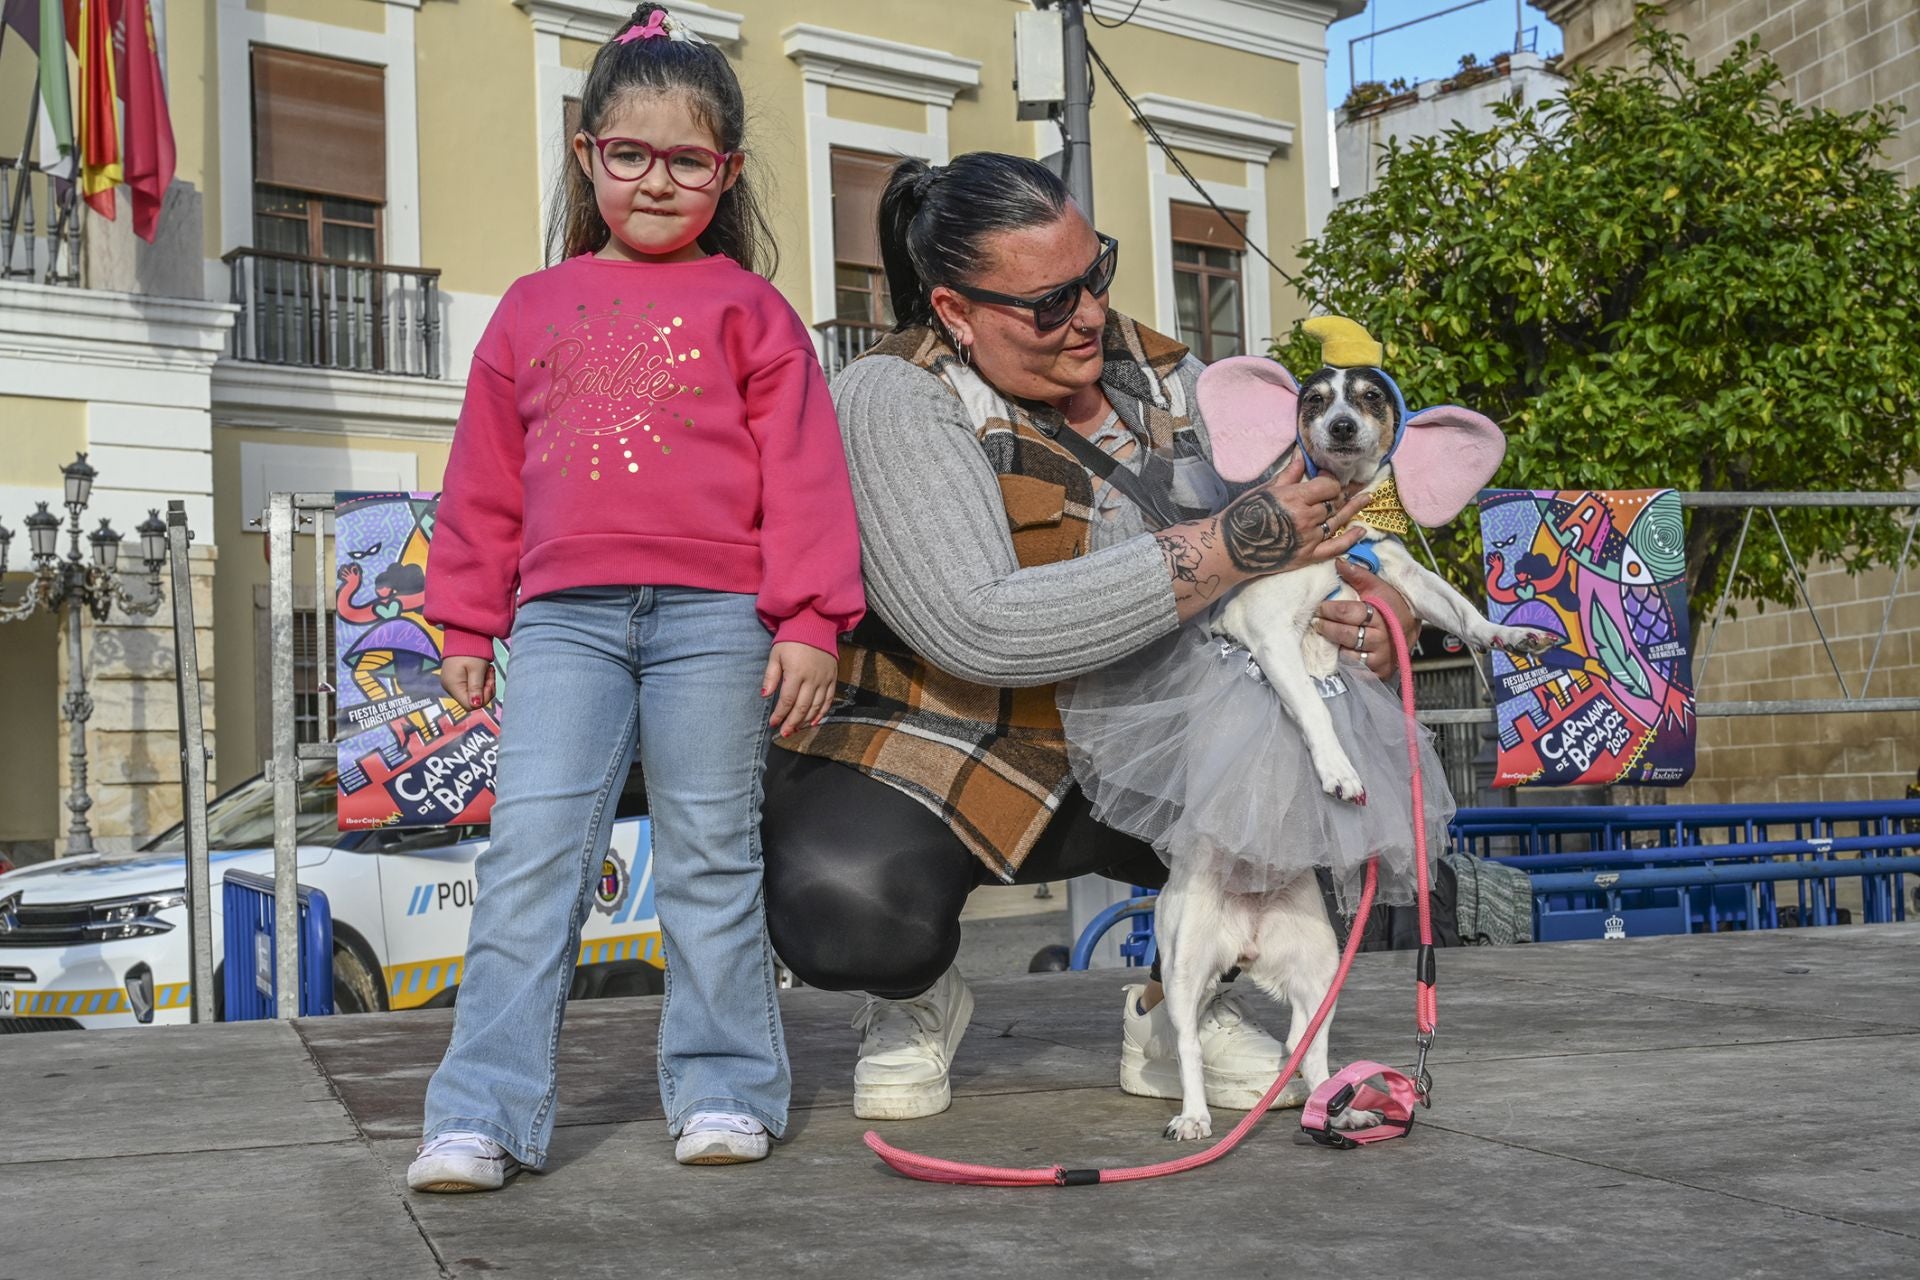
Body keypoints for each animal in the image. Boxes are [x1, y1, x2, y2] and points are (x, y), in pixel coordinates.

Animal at [1144, 318, 1551, 1143]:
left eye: (1368, 397)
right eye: (1313, 400)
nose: (1338, 426)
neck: (1342, 520)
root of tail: (1247, 936)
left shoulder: (1400, 575)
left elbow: (1463, 613)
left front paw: (1507, 635)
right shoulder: (1267, 629)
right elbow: (1314, 704)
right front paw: (1339, 770)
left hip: (1320, 968)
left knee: (1311, 1051)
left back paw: (1341, 1106)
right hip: (1184, 962)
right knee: (1189, 1043)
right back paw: (1196, 1118)